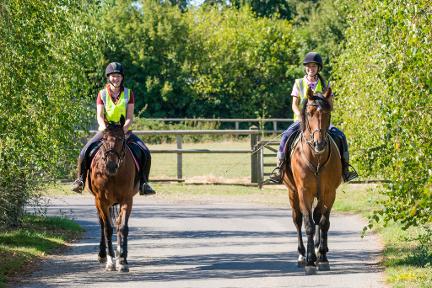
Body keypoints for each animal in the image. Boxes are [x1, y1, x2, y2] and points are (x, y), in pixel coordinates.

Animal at [88, 116, 139, 272]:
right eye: (104, 139)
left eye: (122, 139)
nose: (111, 166)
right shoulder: (101, 201)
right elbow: (107, 229)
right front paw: (110, 262)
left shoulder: (127, 199)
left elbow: (122, 227)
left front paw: (122, 260)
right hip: (99, 202)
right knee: (102, 225)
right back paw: (102, 255)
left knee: (116, 224)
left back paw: (119, 253)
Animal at [284, 86, 340, 274]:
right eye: (309, 113)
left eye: (328, 113)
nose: (319, 144)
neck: (315, 158)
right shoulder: (304, 192)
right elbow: (308, 223)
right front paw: (310, 261)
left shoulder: (329, 192)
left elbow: (323, 222)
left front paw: (322, 257)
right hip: (292, 193)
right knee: (297, 219)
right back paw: (302, 255)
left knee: (318, 217)